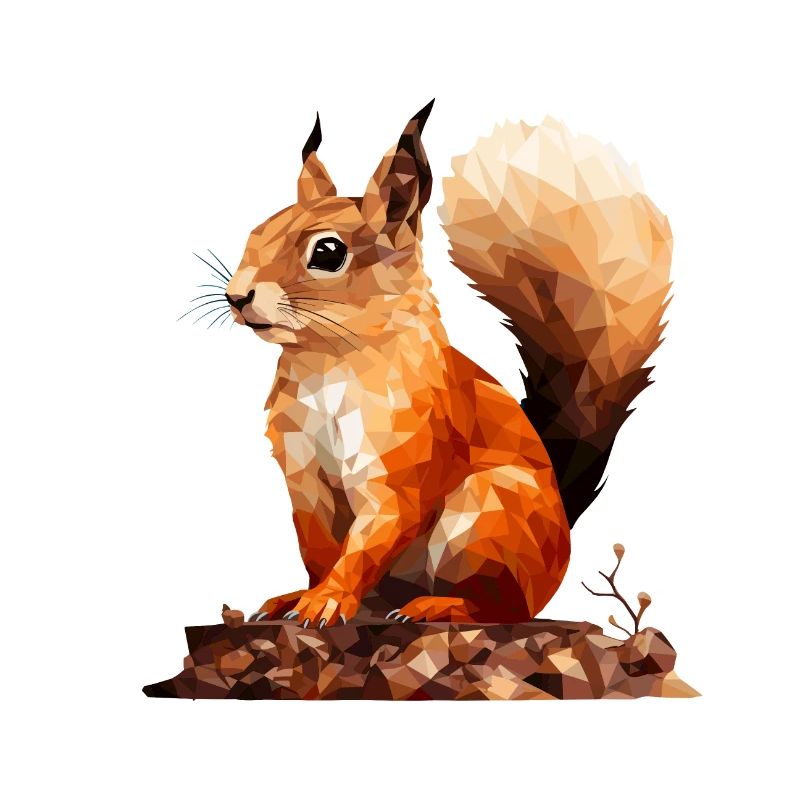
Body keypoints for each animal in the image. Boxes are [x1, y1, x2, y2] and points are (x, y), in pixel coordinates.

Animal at [221, 100, 672, 628]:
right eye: (256, 232)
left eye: (328, 252)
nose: (236, 296)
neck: (329, 363)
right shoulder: (303, 477)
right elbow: (318, 549)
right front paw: (305, 595)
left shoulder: (405, 460)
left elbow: (371, 536)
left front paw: (327, 599)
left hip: (485, 519)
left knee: (503, 608)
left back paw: (437, 606)